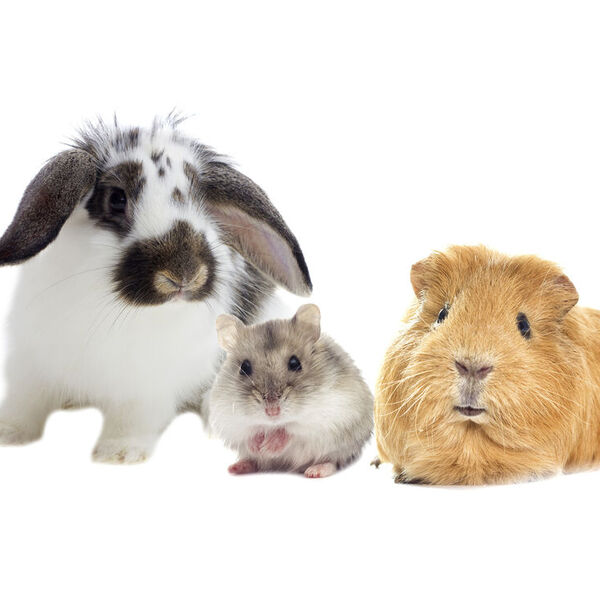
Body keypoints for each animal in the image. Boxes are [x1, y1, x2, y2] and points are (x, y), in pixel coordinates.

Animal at [0, 117, 312, 464]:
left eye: (201, 202)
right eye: (117, 198)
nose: (184, 274)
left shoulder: (146, 386)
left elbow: (131, 418)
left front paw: (119, 453)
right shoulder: (32, 363)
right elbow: (25, 403)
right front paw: (8, 433)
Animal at [209, 304, 372, 478]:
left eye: (295, 363)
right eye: (244, 367)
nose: (272, 411)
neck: (272, 424)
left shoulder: (331, 412)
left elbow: (291, 429)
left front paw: (268, 446)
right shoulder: (229, 418)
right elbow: (249, 431)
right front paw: (258, 446)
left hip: (342, 446)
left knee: (334, 461)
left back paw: (315, 471)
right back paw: (237, 467)